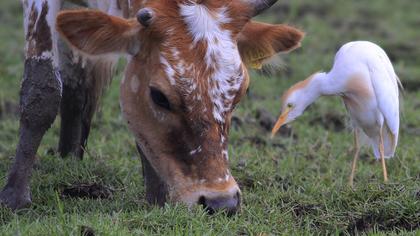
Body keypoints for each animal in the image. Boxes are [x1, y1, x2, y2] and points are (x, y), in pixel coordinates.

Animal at [0, 0, 302, 214]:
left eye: (241, 92)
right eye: (159, 97)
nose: (221, 203)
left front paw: (156, 197)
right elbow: (43, 87)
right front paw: (15, 196)